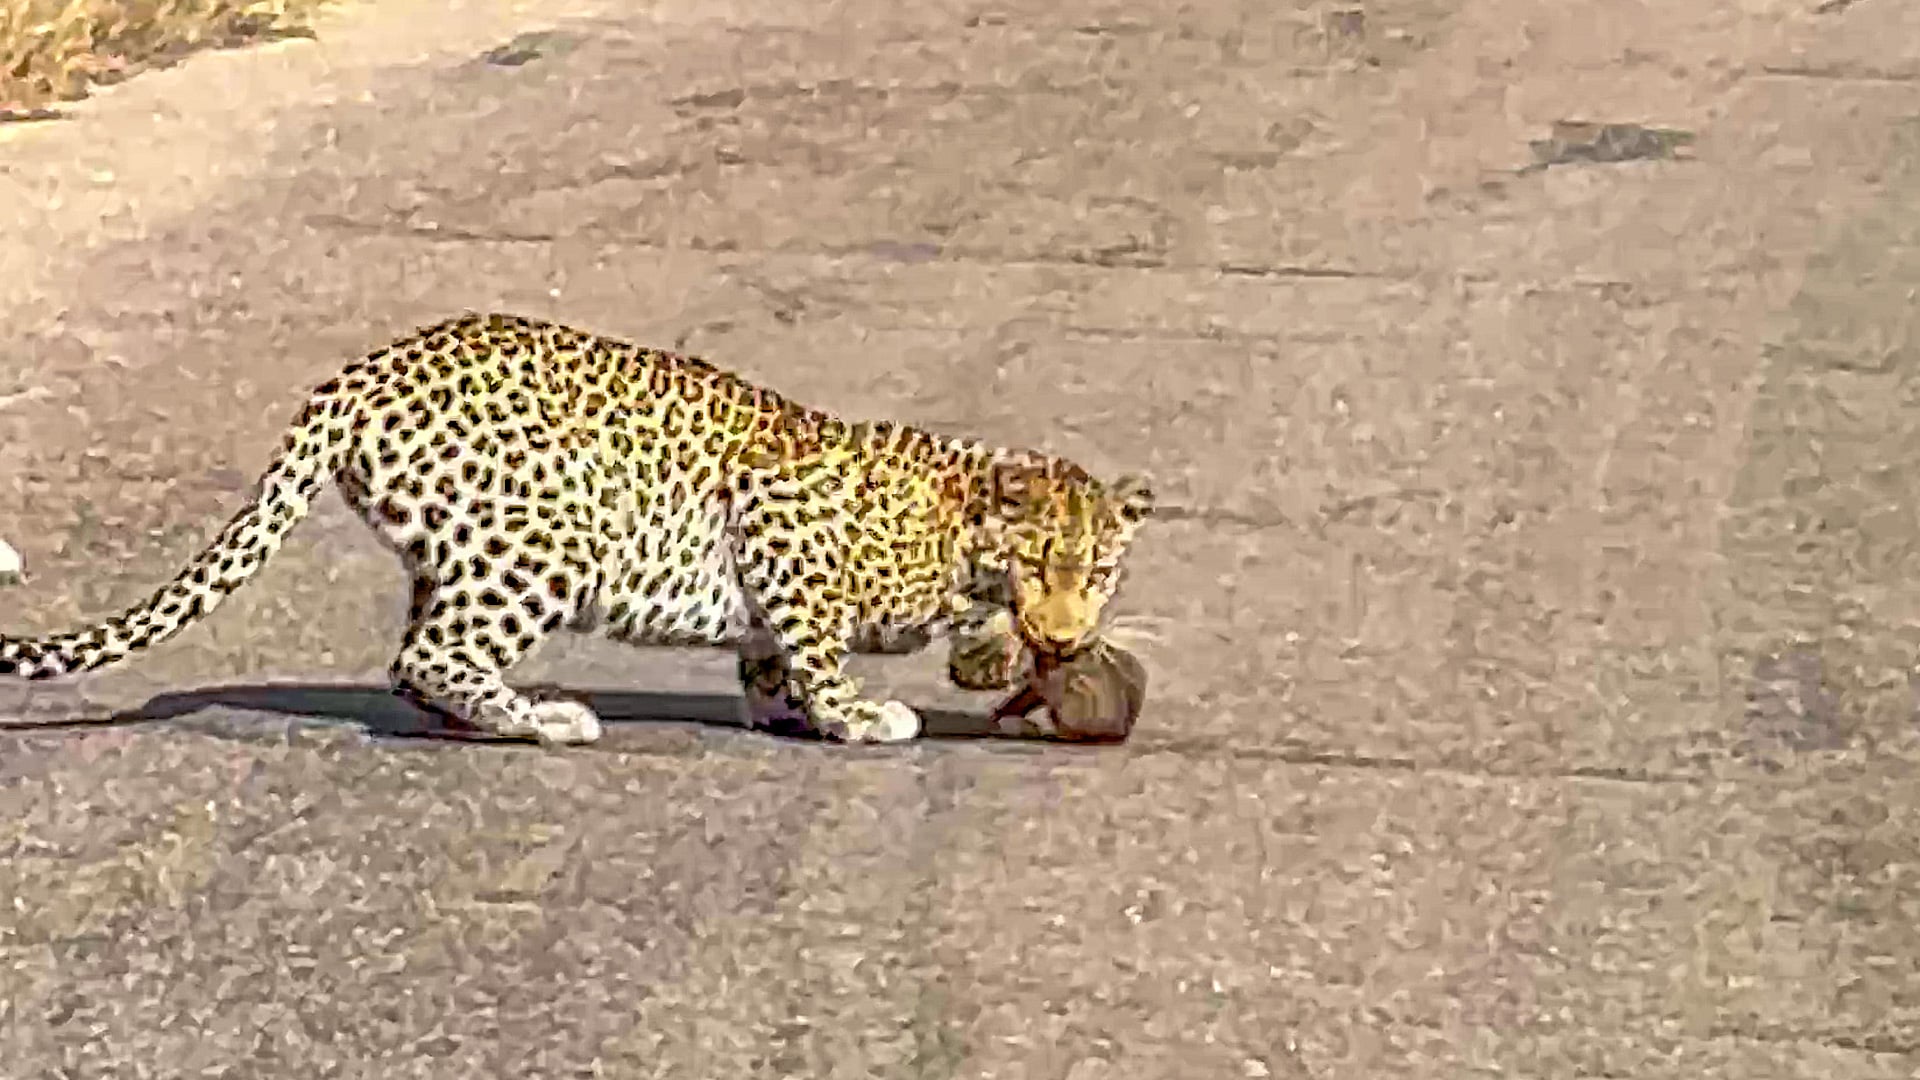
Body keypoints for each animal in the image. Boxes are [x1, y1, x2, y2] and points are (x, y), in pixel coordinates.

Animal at [0, 313, 1154, 746]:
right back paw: (541, 718)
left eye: (1100, 571)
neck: (956, 531)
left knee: (415, 659)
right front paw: (856, 718)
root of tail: (363, 371)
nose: (1063, 635)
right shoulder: (777, 522)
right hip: (549, 539)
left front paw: (780, 705)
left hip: (454, 550)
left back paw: (492, 716)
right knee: (430, 653)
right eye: (1041, 561)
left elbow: (772, 650)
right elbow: (815, 645)